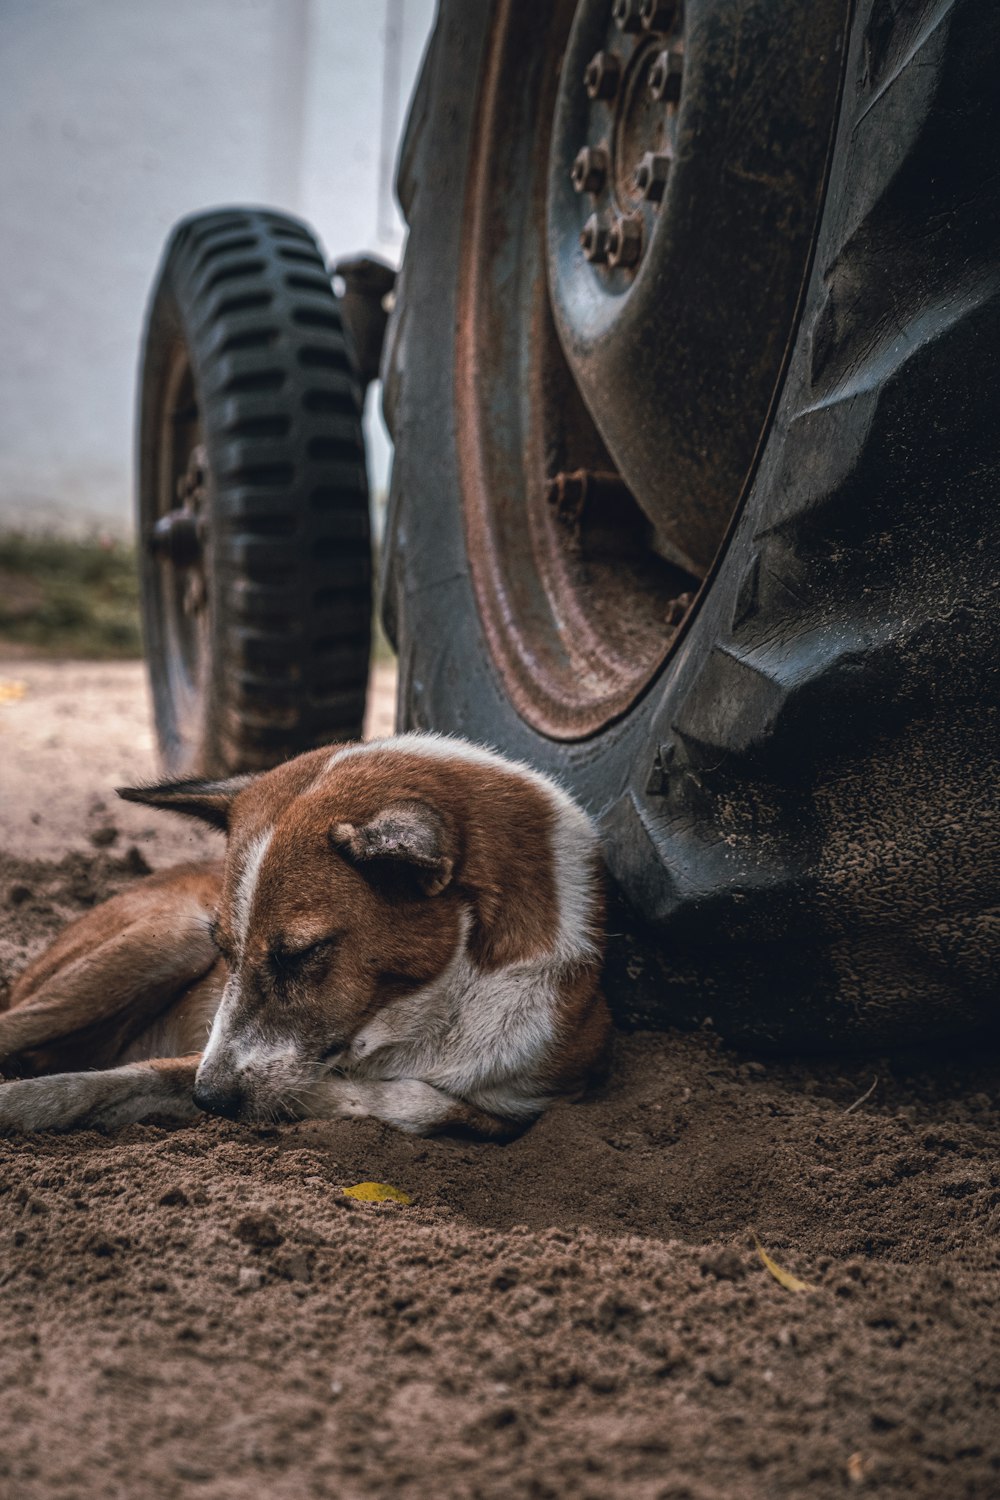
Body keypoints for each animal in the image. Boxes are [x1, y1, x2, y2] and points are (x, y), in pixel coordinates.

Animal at [0, 735, 611, 1134]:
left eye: (301, 955)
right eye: (226, 952)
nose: (210, 1101)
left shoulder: (533, 1103)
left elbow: (428, 1104)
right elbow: (96, 1084)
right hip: (165, 940)